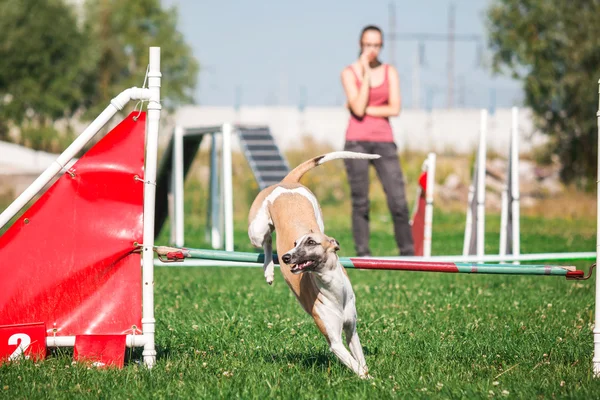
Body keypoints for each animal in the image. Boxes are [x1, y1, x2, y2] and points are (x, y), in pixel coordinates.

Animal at [245, 150, 378, 378]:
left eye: (311, 242)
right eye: (295, 243)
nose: (286, 257)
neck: (333, 288)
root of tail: (286, 183)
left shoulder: (351, 331)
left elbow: (360, 360)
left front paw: (370, 375)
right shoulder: (334, 342)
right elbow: (355, 366)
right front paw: (369, 380)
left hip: (317, 218)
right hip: (257, 229)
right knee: (266, 239)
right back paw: (269, 270)